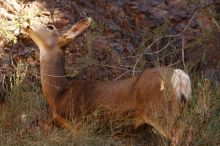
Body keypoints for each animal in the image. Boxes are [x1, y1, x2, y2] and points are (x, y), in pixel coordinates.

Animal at [22, 17, 191, 140]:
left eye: (50, 27)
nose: (27, 22)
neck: (58, 93)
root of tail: (180, 77)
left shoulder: (79, 124)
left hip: (158, 109)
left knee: (179, 133)